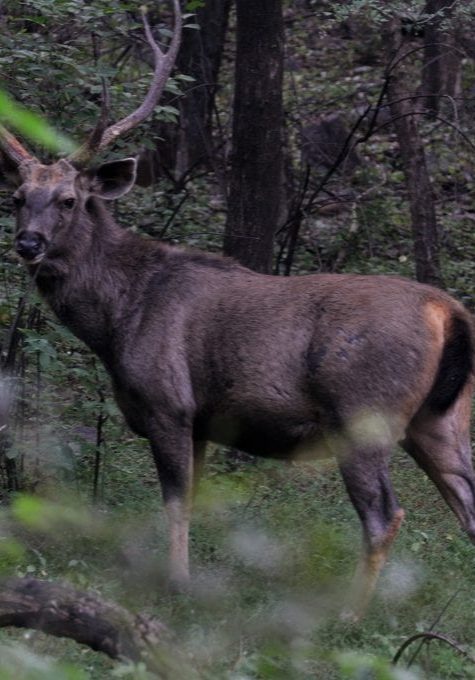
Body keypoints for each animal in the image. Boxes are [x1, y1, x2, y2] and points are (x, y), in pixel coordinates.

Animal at [1, 0, 475, 621]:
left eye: (69, 200)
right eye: (16, 198)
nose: (28, 243)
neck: (117, 318)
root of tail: (449, 313)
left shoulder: (169, 402)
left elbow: (176, 501)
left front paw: (177, 586)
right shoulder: (202, 419)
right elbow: (199, 501)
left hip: (363, 413)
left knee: (384, 514)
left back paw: (349, 614)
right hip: (443, 418)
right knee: (467, 505)